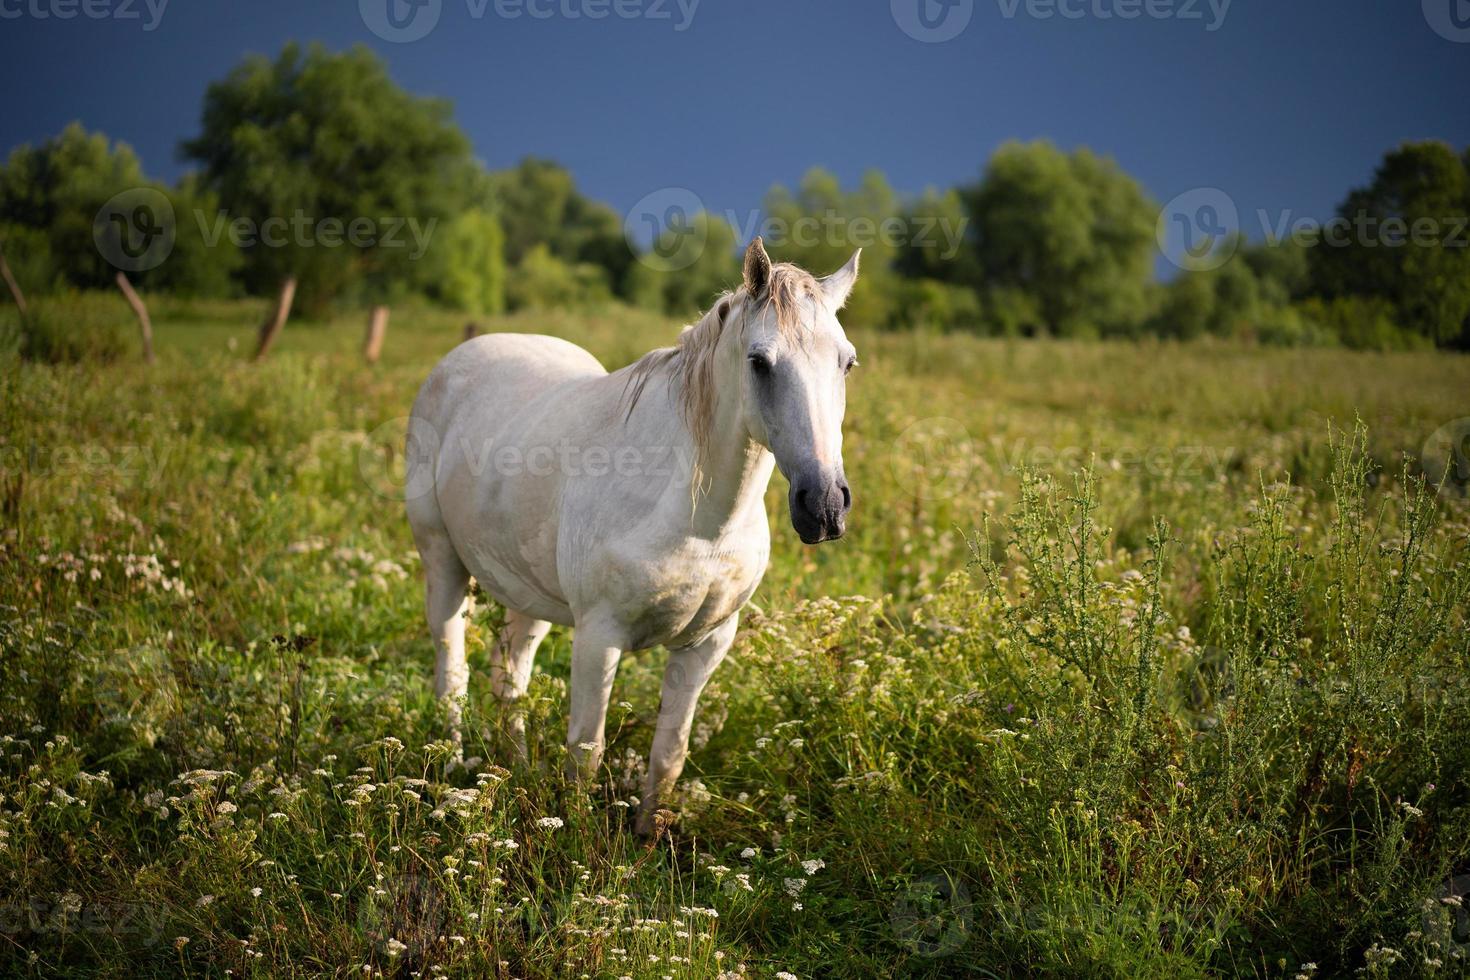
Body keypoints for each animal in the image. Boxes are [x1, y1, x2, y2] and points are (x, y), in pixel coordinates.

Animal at [405, 240, 858, 834]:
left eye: (847, 361)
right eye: (760, 362)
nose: (823, 505)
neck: (700, 524)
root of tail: (462, 357)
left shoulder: (705, 645)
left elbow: (669, 755)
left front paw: (646, 838)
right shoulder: (600, 637)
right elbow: (586, 752)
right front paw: (576, 839)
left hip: (529, 594)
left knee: (510, 677)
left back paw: (514, 770)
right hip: (443, 564)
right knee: (451, 669)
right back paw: (453, 766)